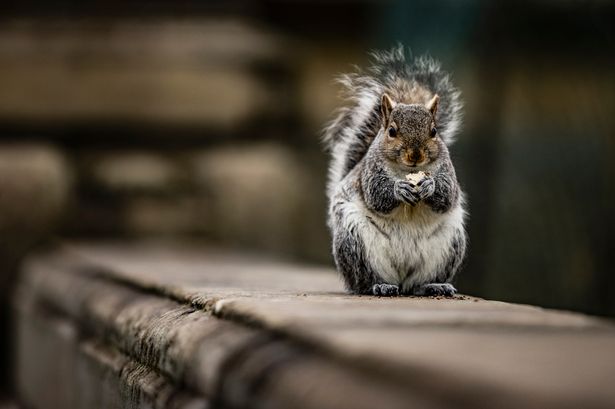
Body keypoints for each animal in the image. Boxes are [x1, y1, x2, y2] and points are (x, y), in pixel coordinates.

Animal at [324, 47, 464, 296]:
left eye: (434, 131)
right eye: (391, 131)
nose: (415, 155)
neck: (407, 170)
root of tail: (401, 279)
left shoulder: (448, 171)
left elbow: (447, 195)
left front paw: (430, 186)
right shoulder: (369, 173)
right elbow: (377, 196)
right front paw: (399, 189)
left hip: (450, 244)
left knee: (418, 284)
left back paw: (433, 285)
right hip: (355, 242)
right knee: (365, 280)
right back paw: (379, 285)